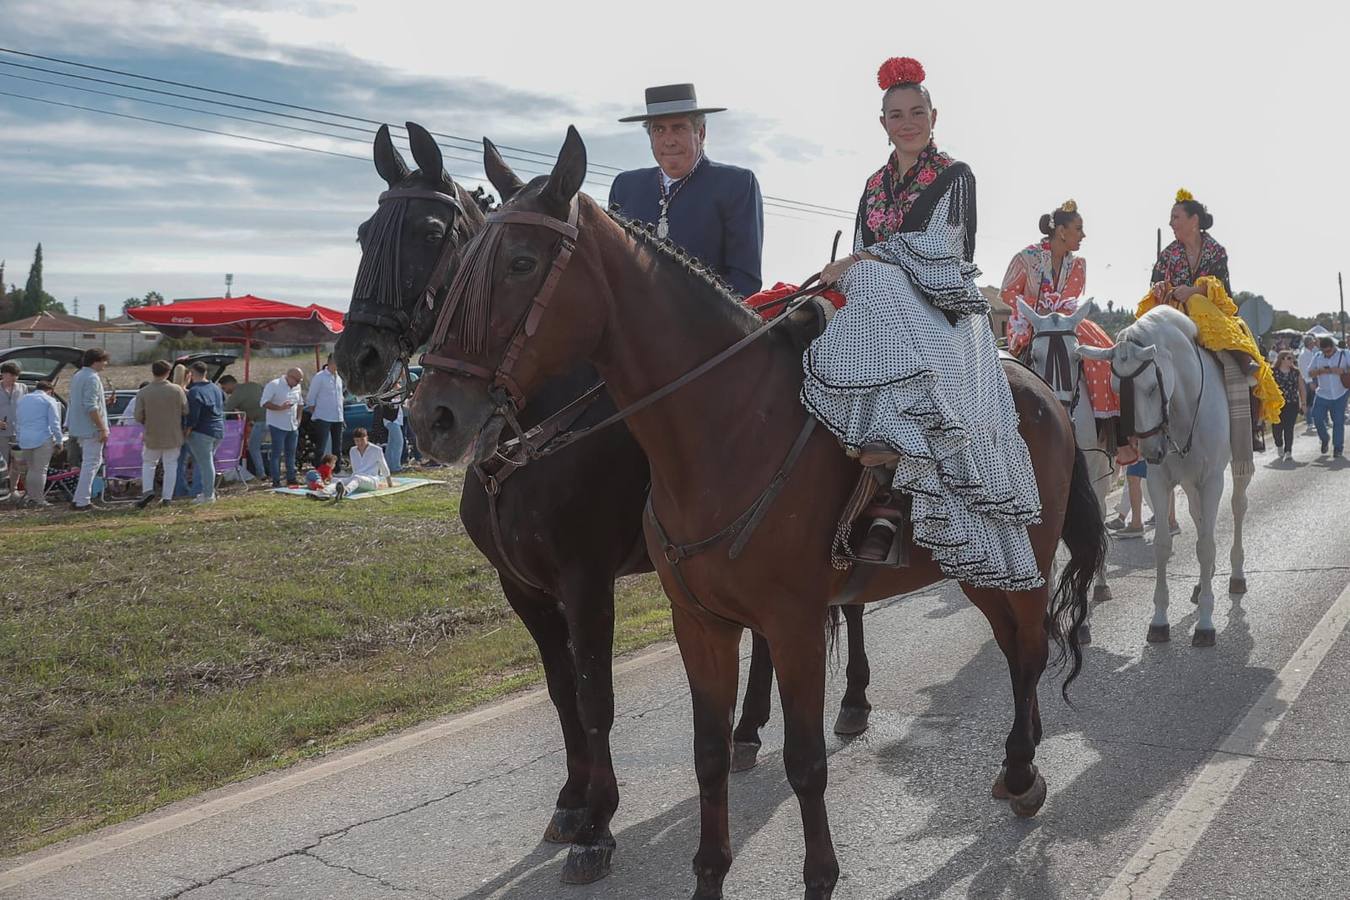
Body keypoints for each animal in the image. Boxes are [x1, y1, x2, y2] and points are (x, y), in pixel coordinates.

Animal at [332, 121, 869, 885]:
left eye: (430, 231)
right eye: (363, 231)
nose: (359, 358)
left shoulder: (586, 581)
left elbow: (594, 696)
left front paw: (599, 825)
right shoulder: (524, 588)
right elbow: (562, 692)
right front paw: (573, 798)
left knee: (846, 608)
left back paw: (850, 702)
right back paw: (746, 730)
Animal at [1074, 307, 1252, 647]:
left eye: (1151, 387)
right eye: (1115, 390)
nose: (1150, 450)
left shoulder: (1212, 480)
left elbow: (1206, 545)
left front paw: (1206, 623)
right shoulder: (1159, 482)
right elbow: (1163, 546)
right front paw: (1159, 620)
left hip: (1236, 467)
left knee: (1237, 508)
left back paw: (1236, 576)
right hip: (1190, 483)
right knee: (1198, 517)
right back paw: (1202, 583)